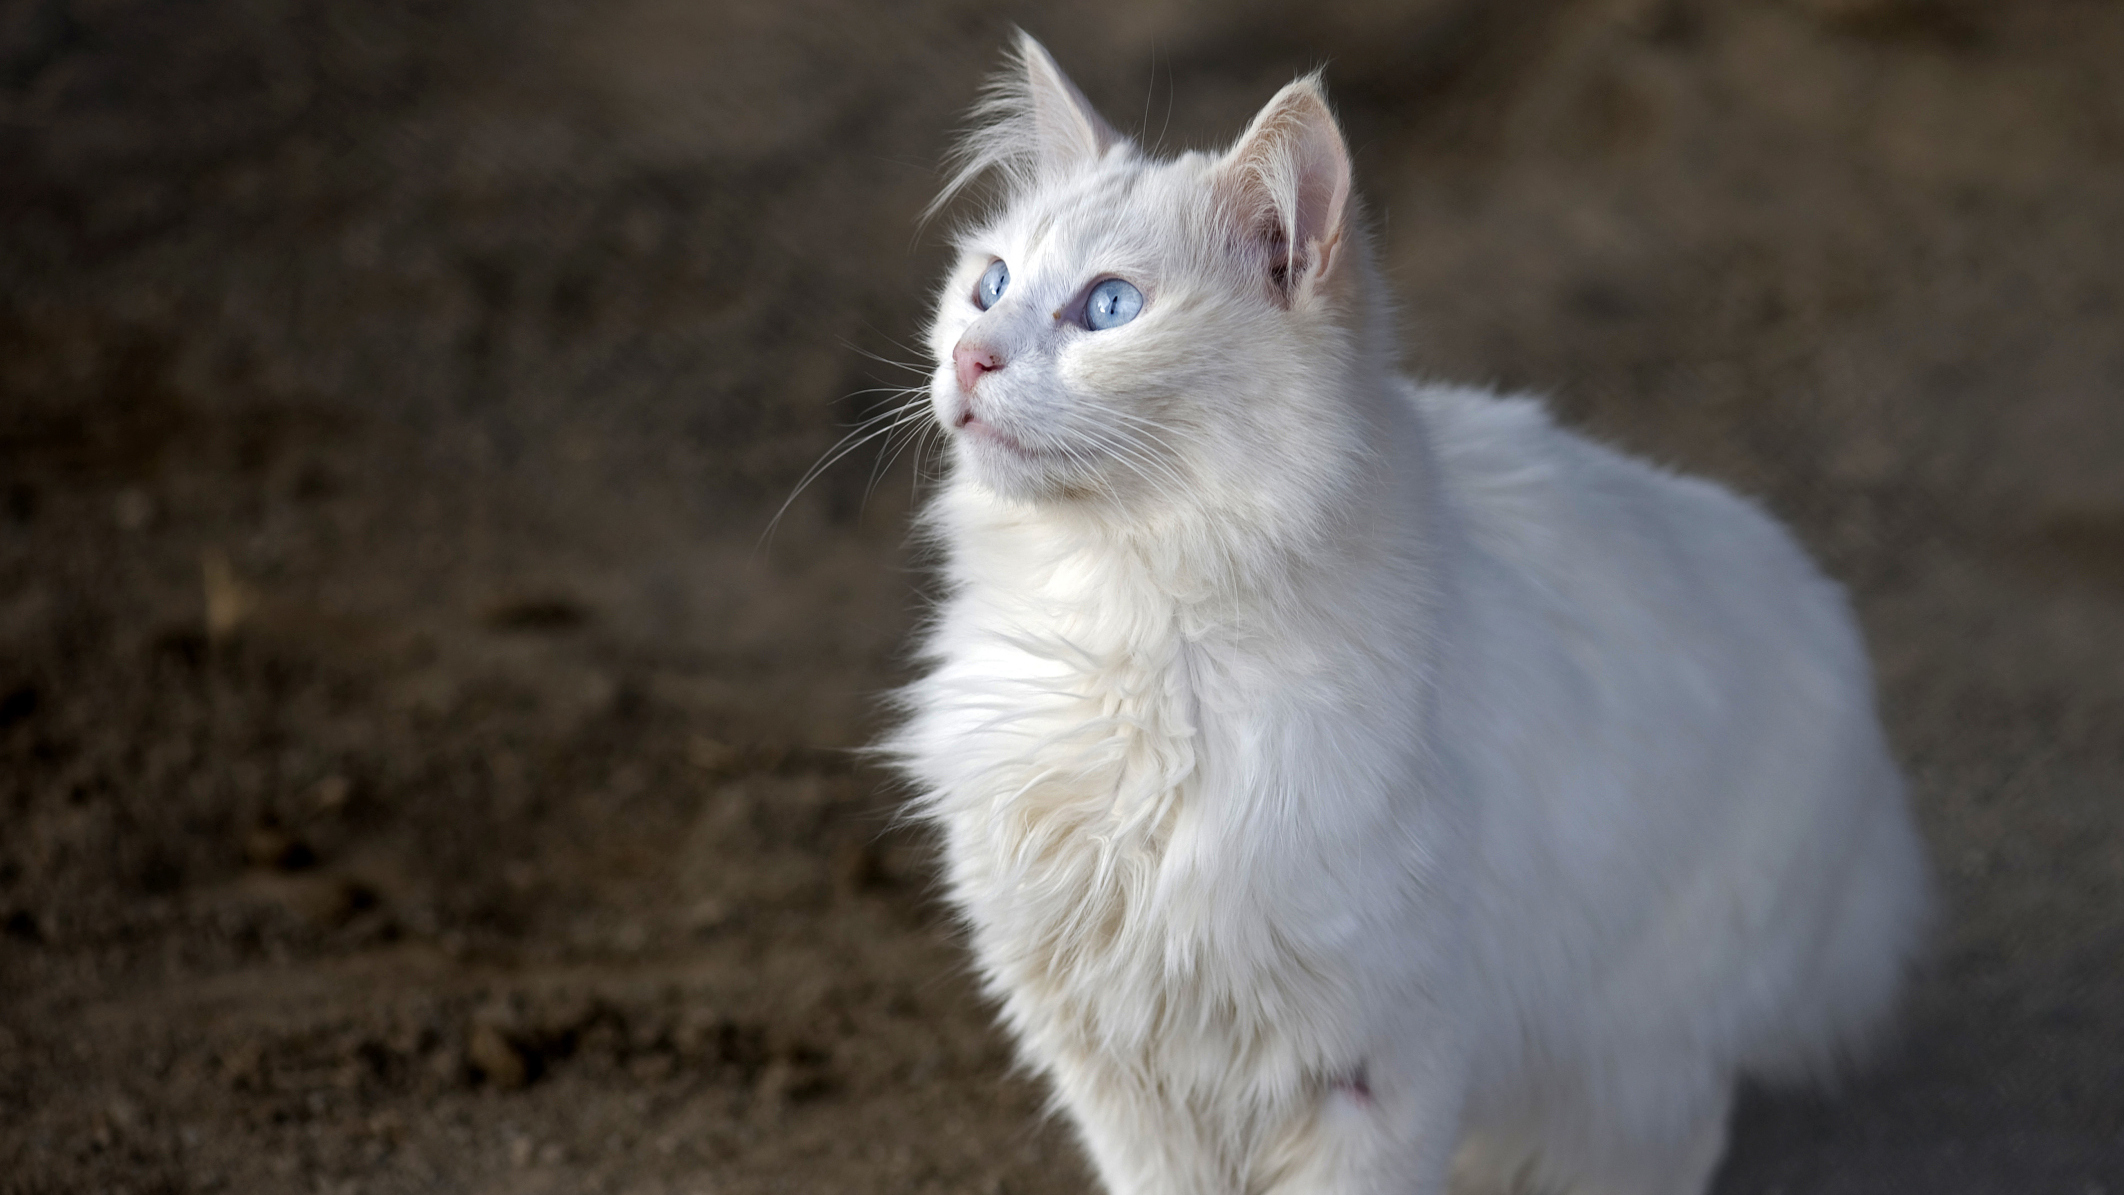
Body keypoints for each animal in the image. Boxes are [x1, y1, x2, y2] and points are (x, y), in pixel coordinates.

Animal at [887, 35, 1937, 1195]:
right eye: (988, 284)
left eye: (1110, 308)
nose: (968, 357)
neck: (1120, 626)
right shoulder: (1116, 1059)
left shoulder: (1374, 1066)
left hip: (1636, 1058)